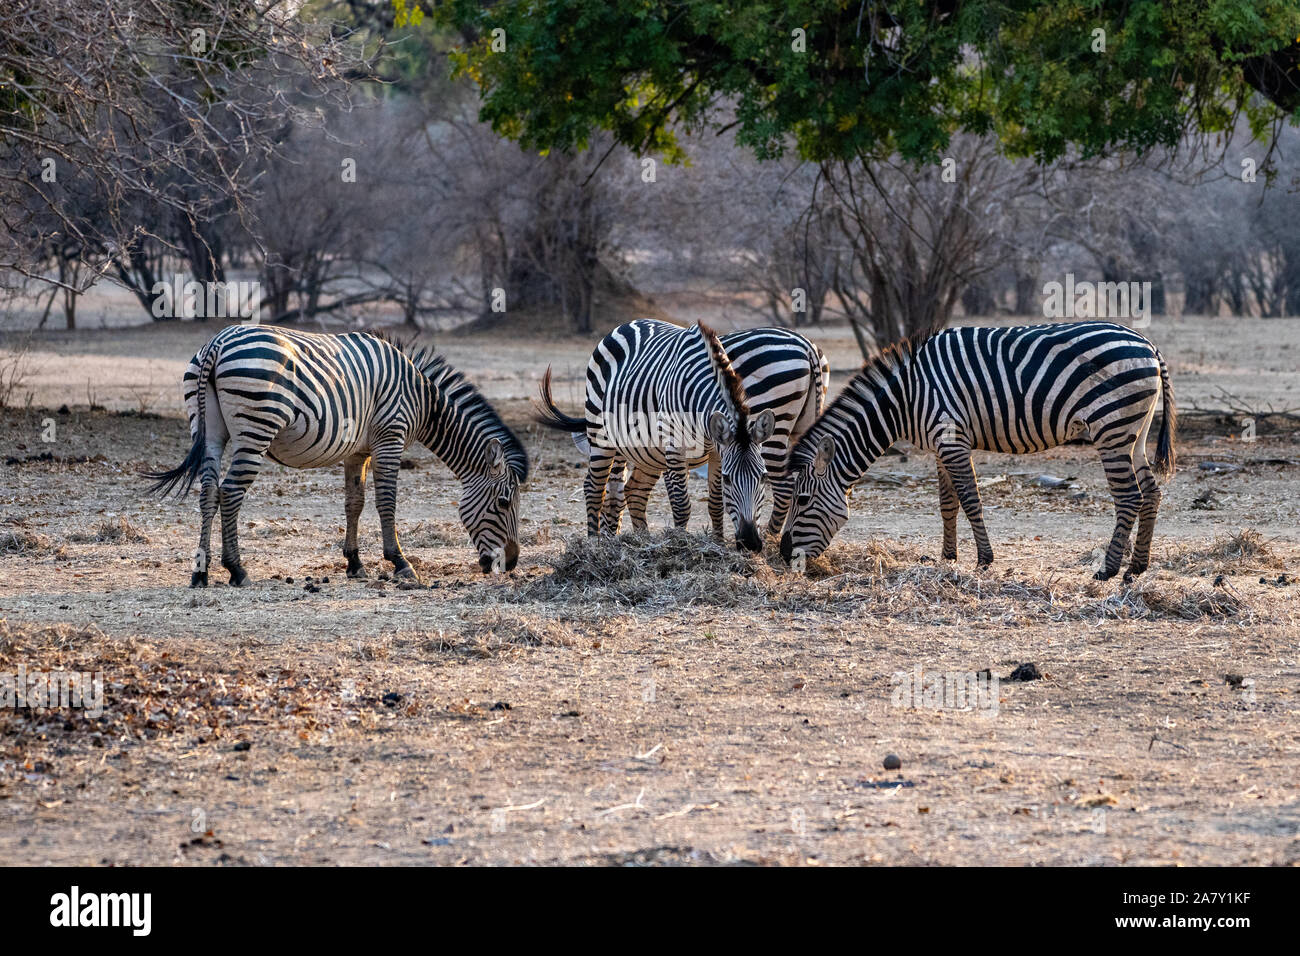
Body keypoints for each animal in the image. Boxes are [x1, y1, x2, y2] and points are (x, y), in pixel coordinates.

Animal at [145, 325, 528, 587]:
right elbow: (386, 502)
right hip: (255, 430)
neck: (421, 400)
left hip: (209, 430)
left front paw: (355, 563)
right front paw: (400, 562)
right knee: (230, 493)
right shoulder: (390, 438)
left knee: (208, 492)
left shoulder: (357, 452)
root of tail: (218, 341)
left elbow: (354, 503)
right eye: (504, 503)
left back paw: (201, 572)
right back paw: (237, 569)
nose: (511, 563)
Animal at [535, 320, 775, 552]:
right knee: (594, 487)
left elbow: (716, 503)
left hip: (646, 451)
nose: (750, 543)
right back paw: (593, 546)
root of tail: (625, 325)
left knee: (633, 491)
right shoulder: (674, 446)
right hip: (600, 434)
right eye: (728, 479)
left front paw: (718, 545)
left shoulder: (717, 452)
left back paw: (643, 541)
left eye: (764, 476)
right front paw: (680, 545)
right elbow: (681, 504)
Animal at [595, 327, 829, 541]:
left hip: (774, 426)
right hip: (803, 425)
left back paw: (770, 537)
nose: (607, 537)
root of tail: (808, 347)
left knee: (784, 487)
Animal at [779, 321, 1176, 582]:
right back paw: (1136, 567)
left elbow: (971, 500)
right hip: (1134, 432)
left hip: (1112, 429)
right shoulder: (939, 445)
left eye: (802, 500)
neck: (905, 400)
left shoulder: (953, 439)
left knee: (1129, 496)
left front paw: (984, 560)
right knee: (1152, 492)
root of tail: (1148, 344)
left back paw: (1109, 569)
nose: (783, 554)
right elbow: (947, 504)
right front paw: (947, 557)